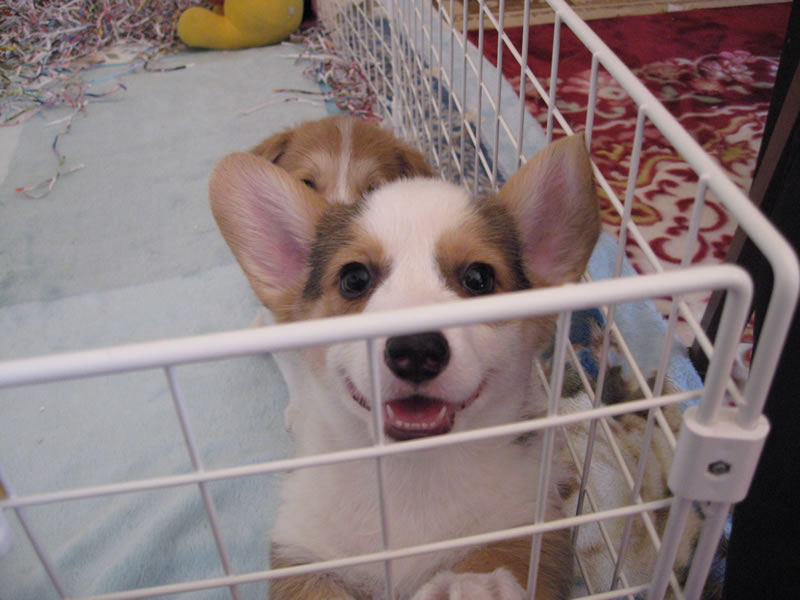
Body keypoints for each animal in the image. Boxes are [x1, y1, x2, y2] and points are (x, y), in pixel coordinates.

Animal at [210, 133, 601, 599]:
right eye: (354, 278)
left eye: (479, 278)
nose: (415, 349)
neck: (410, 477)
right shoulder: (303, 555)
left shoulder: (527, 532)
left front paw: (472, 586)